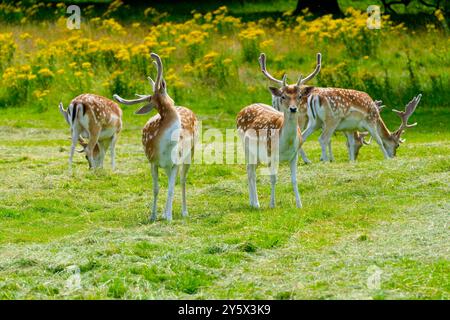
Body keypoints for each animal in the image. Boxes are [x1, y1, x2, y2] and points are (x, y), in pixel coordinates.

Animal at [112, 53, 197, 222]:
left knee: (183, 180)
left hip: (190, 152)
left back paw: (184, 212)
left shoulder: (175, 162)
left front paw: (168, 217)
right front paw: (154, 216)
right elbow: (156, 188)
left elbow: (171, 188)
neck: (164, 147)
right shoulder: (153, 161)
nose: (173, 101)